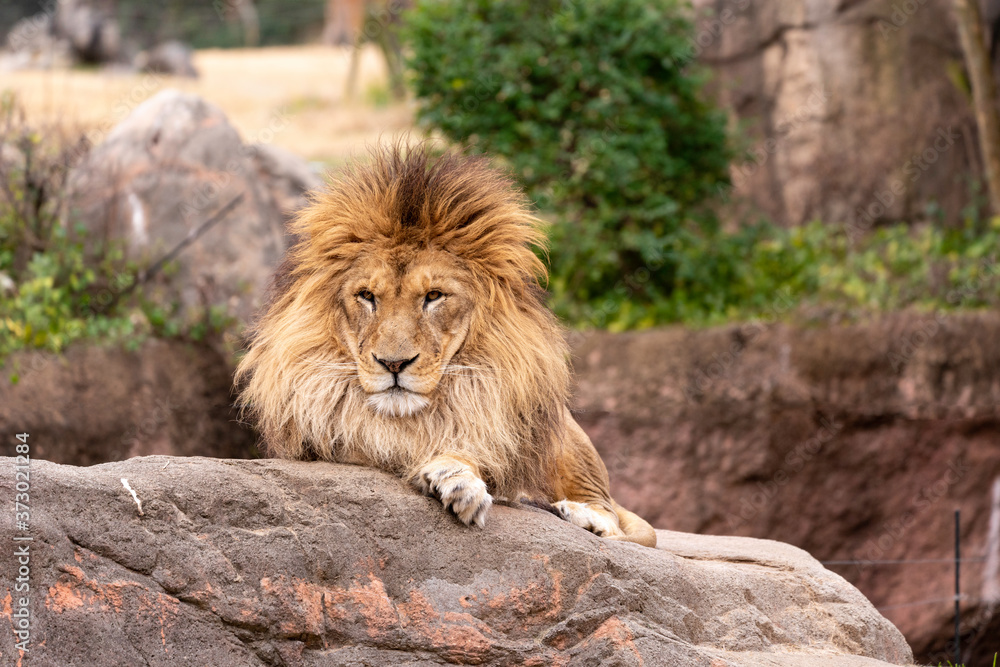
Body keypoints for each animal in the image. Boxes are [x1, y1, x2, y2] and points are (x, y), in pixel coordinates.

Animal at [235, 144, 656, 548]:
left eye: (434, 296)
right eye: (367, 296)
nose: (393, 364)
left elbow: (467, 451)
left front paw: (458, 478)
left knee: (610, 513)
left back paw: (582, 516)